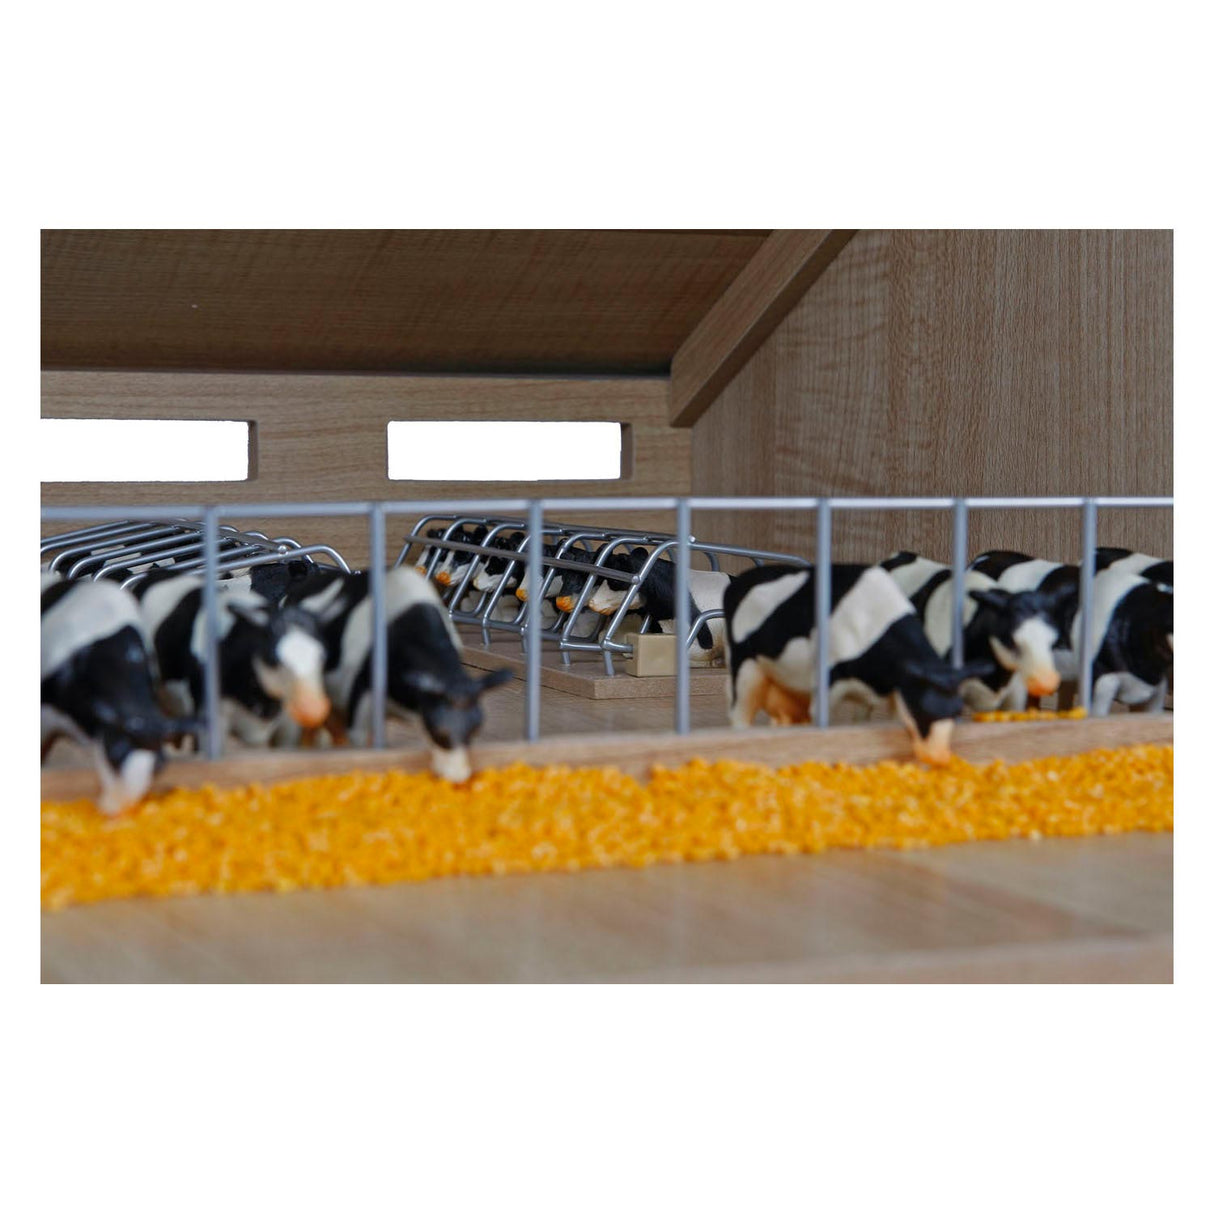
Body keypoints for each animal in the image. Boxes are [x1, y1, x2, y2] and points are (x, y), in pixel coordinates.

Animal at [723, 563, 993, 765]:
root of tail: (738, 582)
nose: (939, 757)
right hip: (744, 665)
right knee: (739, 714)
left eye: (958, 710)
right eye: (923, 709)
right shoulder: (828, 680)